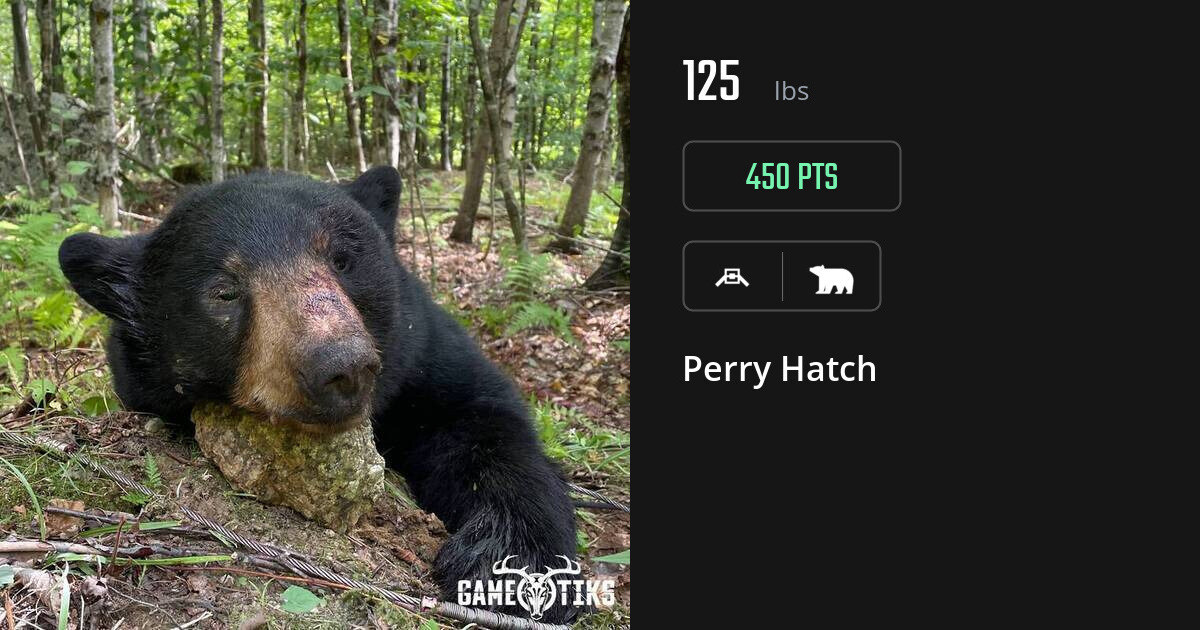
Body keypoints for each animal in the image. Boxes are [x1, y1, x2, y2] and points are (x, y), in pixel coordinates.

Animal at [58, 167, 583, 623]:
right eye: (224, 291)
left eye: (343, 260)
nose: (342, 367)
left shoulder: (423, 349)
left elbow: (482, 417)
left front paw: (516, 558)